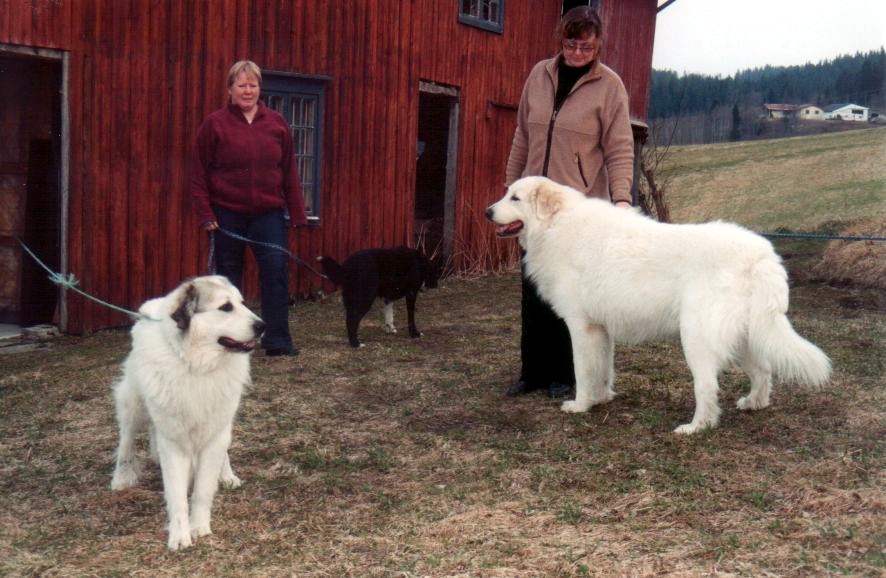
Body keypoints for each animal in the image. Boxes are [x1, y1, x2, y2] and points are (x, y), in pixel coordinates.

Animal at [109, 274, 266, 548]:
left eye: (242, 303)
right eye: (226, 307)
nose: (262, 326)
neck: (198, 365)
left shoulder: (215, 432)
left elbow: (202, 490)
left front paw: (200, 527)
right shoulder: (173, 441)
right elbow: (177, 495)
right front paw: (180, 535)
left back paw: (226, 475)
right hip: (134, 406)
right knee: (127, 441)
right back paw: (121, 478)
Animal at [490, 176, 836, 432]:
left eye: (515, 198)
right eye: (505, 193)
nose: (487, 212)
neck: (555, 225)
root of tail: (761, 254)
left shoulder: (581, 326)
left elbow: (583, 371)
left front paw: (580, 405)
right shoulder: (602, 329)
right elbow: (603, 368)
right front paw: (602, 399)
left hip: (697, 337)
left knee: (707, 387)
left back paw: (696, 427)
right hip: (743, 335)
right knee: (763, 372)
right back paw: (753, 404)